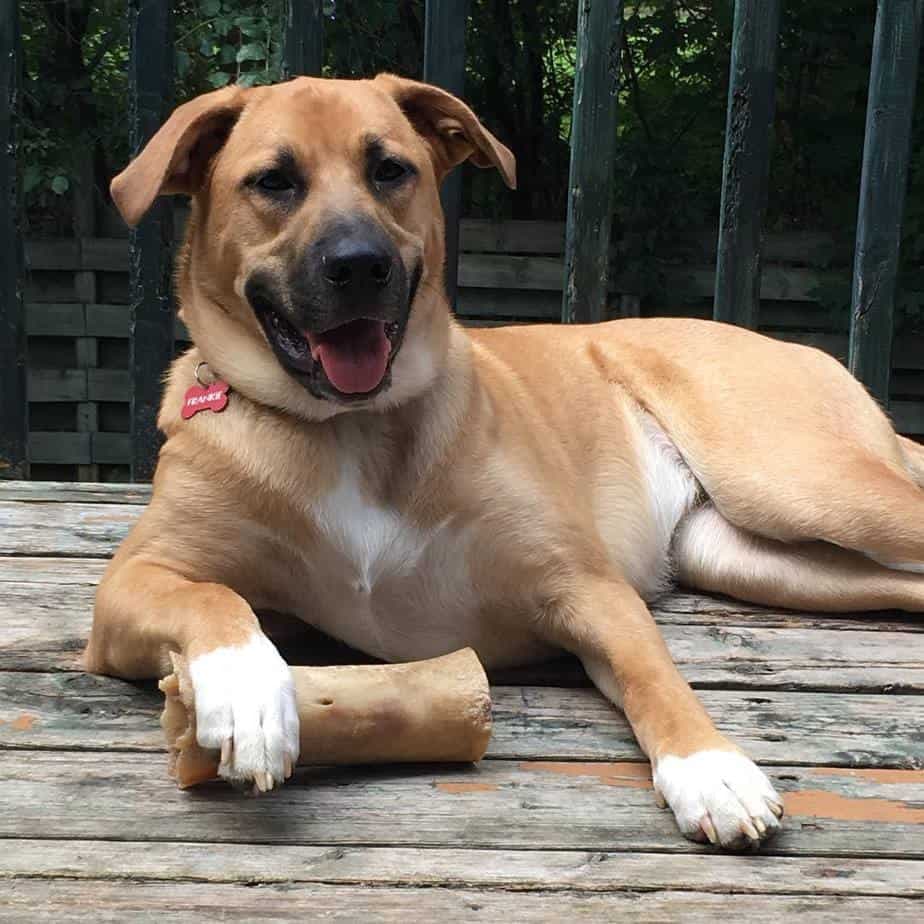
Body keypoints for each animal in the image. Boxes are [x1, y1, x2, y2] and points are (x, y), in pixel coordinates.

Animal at [86, 74, 924, 852]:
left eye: (390, 169)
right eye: (274, 182)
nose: (359, 266)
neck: (351, 431)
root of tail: (795, 347)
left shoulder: (587, 588)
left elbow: (653, 674)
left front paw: (711, 768)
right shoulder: (133, 582)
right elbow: (215, 599)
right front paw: (249, 697)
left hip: (804, 487)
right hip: (754, 556)